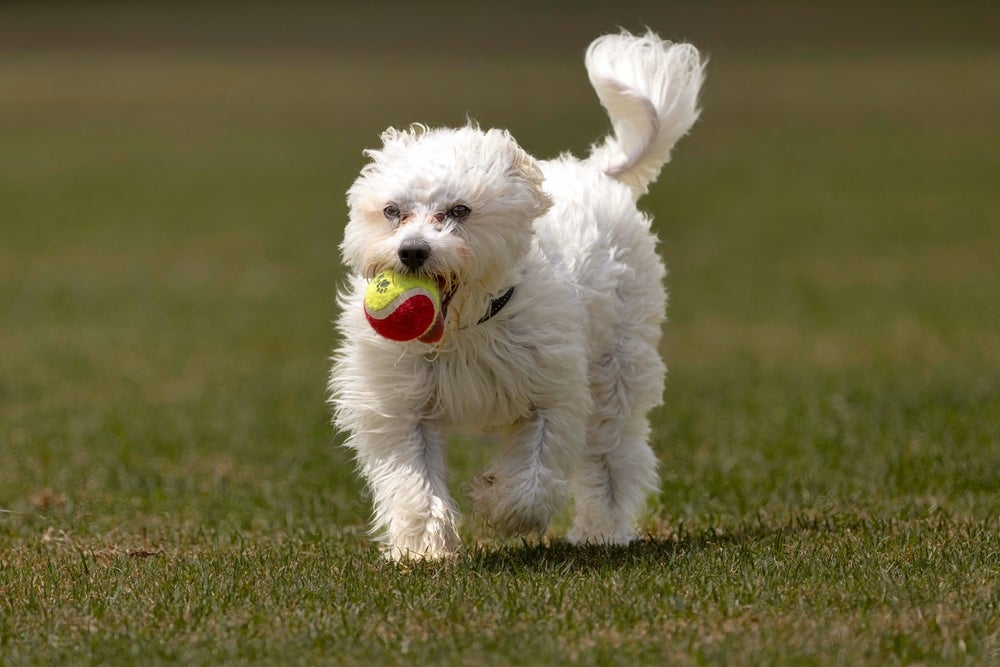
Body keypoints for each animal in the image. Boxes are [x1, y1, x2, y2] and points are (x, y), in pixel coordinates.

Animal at [328, 31, 704, 564]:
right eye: (393, 211)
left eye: (459, 211)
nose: (413, 251)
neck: (464, 330)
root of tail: (596, 172)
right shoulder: (400, 406)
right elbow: (414, 482)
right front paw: (425, 550)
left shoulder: (554, 393)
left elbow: (533, 474)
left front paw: (497, 504)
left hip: (616, 369)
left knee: (613, 456)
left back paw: (602, 531)